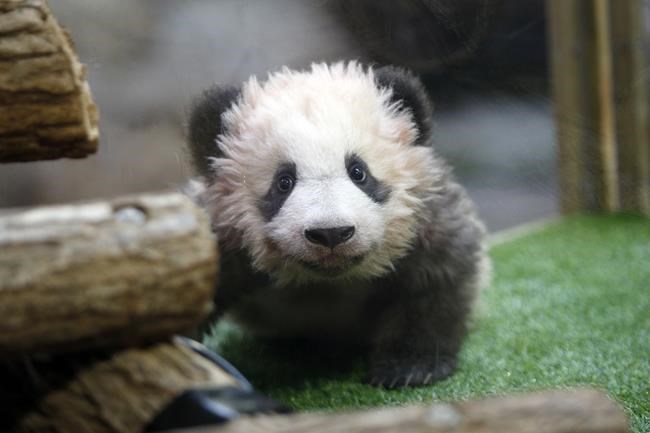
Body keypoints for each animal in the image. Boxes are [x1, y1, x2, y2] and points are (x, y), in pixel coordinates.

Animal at [186, 61, 489, 388]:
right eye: (283, 182)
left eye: (358, 172)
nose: (331, 233)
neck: (329, 279)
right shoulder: (220, 235)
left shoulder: (424, 217)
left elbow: (434, 281)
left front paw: (410, 367)